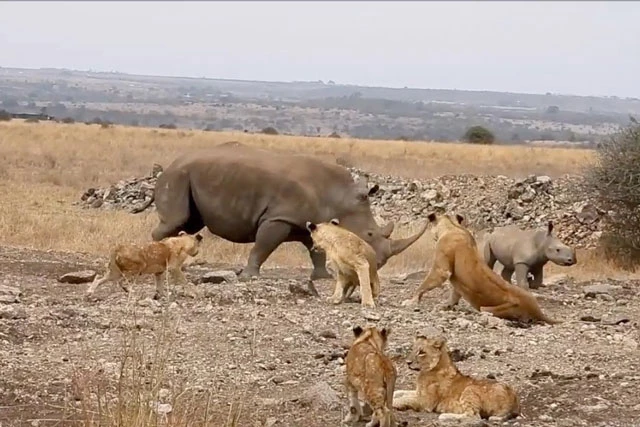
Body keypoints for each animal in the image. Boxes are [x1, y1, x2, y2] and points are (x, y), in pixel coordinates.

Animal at [392, 334, 524, 422]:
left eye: (421, 352)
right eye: (412, 349)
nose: (408, 362)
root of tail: (514, 400)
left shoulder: (426, 402)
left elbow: (405, 398)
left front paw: (393, 402)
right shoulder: (419, 392)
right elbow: (402, 392)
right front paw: (394, 394)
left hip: (470, 388)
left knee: (474, 415)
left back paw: (445, 416)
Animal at [404, 212, 560, 326]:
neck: (453, 227)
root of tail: (538, 310)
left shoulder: (441, 269)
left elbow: (425, 284)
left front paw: (410, 301)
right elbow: (455, 293)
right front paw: (447, 305)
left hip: (490, 308)